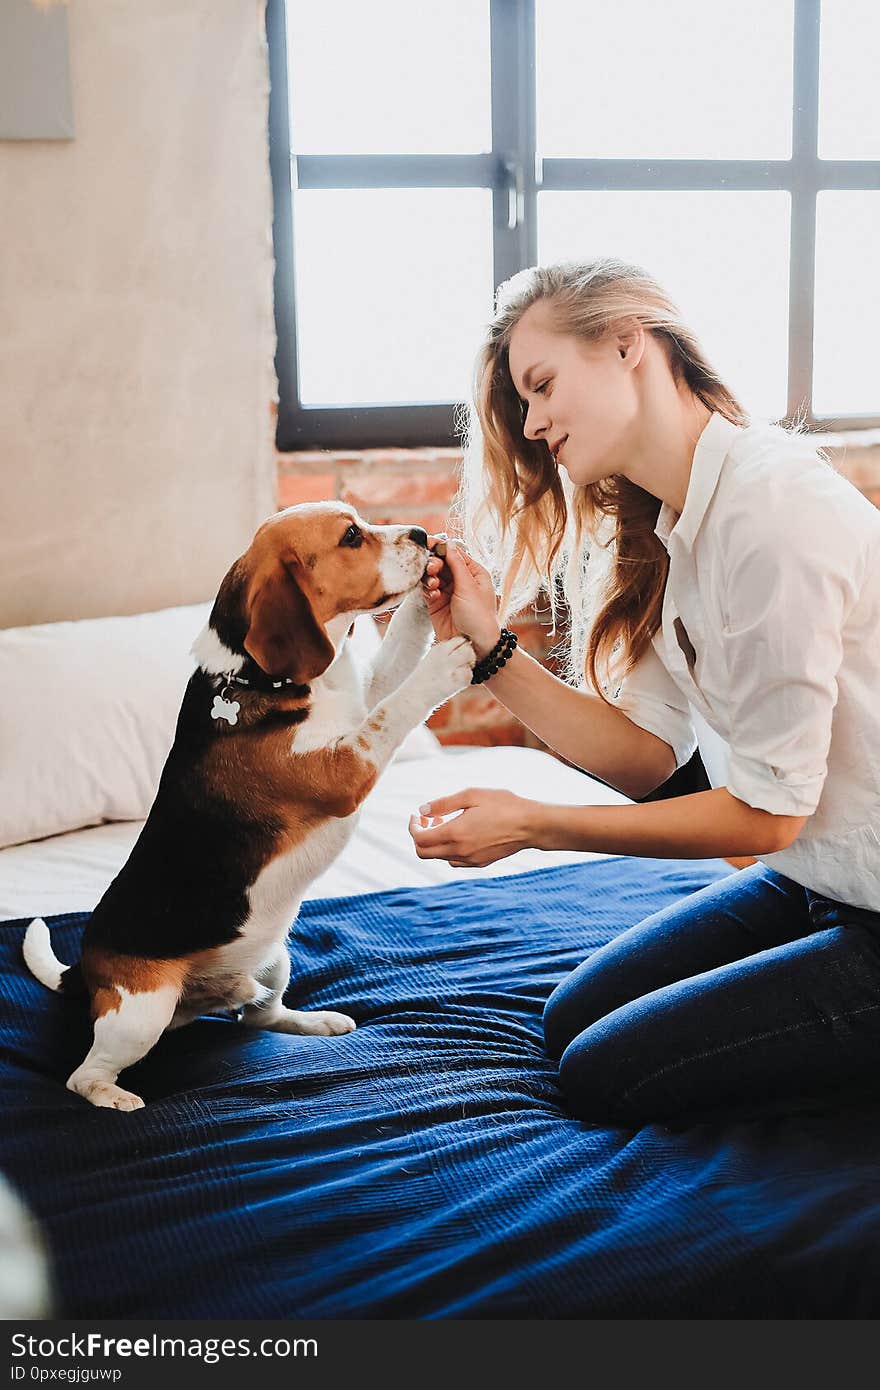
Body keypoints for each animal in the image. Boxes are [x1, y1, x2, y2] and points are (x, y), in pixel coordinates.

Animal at [22, 505, 472, 1112]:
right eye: (351, 536)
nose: (422, 535)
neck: (257, 676)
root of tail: (85, 971)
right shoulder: (347, 768)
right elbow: (396, 708)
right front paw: (444, 665)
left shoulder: (362, 694)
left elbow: (396, 658)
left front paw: (430, 598)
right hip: (141, 1012)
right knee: (82, 1074)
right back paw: (114, 1096)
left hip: (274, 956)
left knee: (257, 1018)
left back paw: (312, 1022)